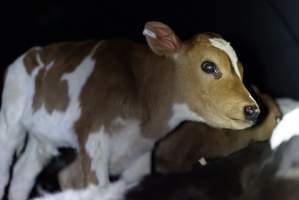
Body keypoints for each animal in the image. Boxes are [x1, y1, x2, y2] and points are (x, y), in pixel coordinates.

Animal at [0, 21, 258, 199]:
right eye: (209, 66)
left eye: (241, 70)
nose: (253, 110)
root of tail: (34, 52)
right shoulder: (94, 141)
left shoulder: (140, 155)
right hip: (11, 116)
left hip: (43, 136)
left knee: (23, 173)